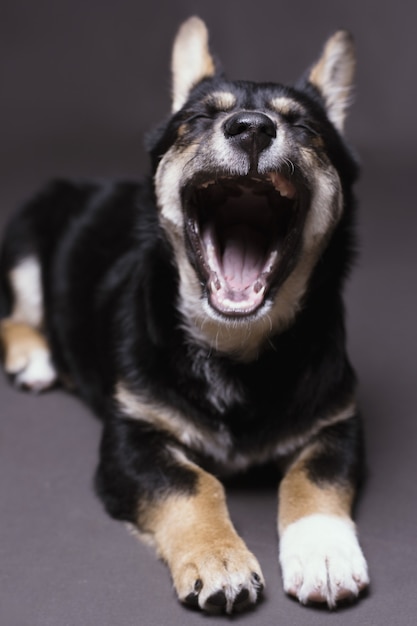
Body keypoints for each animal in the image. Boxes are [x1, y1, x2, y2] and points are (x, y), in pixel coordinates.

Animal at [1, 15, 368, 616]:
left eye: (305, 126)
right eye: (198, 120)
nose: (251, 128)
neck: (235, 347)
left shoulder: (338, 424)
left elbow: (312, 480)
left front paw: (324, 551)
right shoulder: (132, 438)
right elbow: (196, 484)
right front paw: (219, 560)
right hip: (26, 241)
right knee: (15, 314)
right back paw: (34, 358)